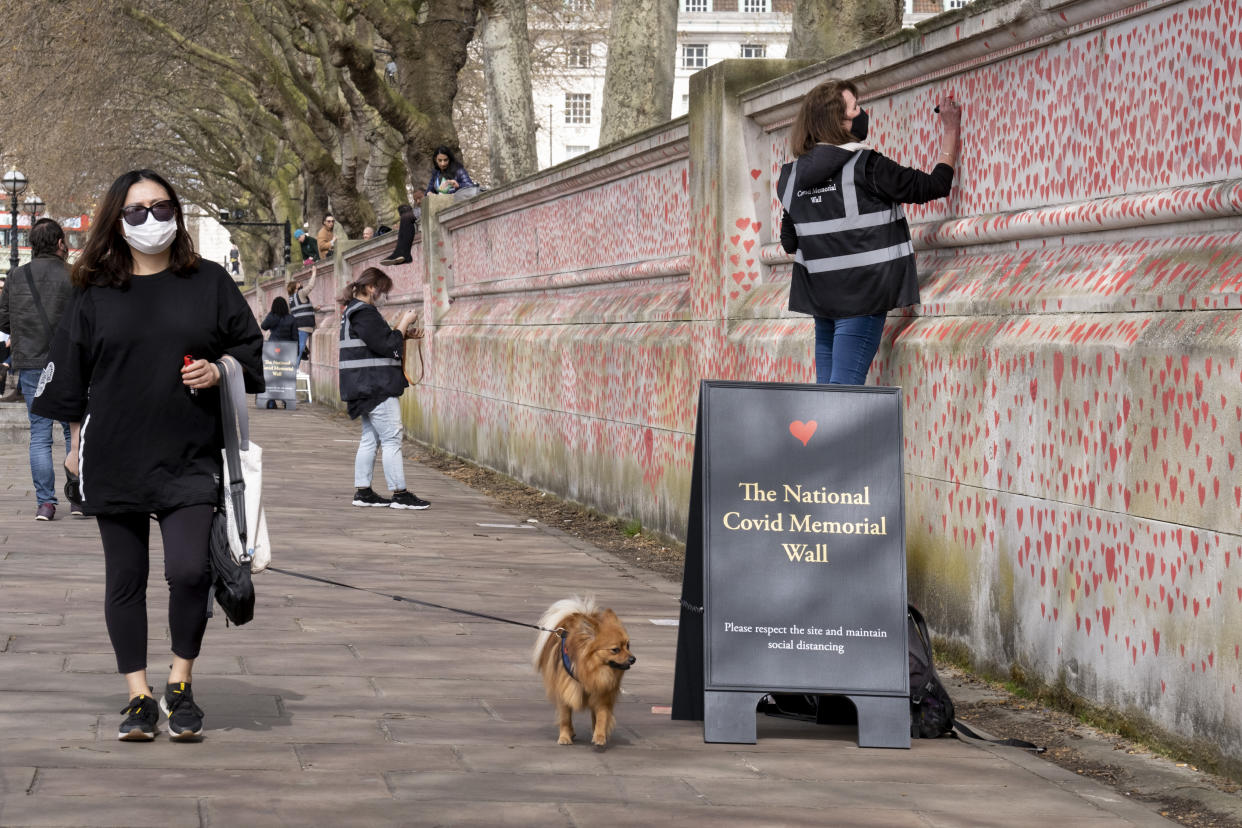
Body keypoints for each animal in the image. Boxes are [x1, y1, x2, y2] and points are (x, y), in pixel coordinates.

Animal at [529, 595, 635, 744]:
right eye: (615, 650)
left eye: (628, 646)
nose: (633, 659)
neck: (591, 670)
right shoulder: (565, 689)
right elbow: (565, 717)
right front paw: (564, 737)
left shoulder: (602, 692)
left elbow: (602, 716)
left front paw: (599, 735)